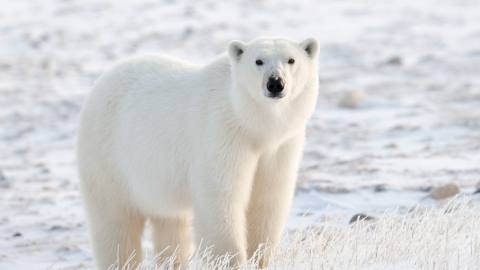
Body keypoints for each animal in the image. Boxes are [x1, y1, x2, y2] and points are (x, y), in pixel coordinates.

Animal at [77, 36, 320, 270]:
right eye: (258, 61)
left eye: (291, 60)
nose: (275, 83)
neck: (252, 125)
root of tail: (102, 80)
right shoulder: (221, 134)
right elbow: (220, 199)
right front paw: (231, 262)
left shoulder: (280, 147)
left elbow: (267, 200)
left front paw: (260, 259)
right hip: (109, 159)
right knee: (116, 225)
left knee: (171, 226)